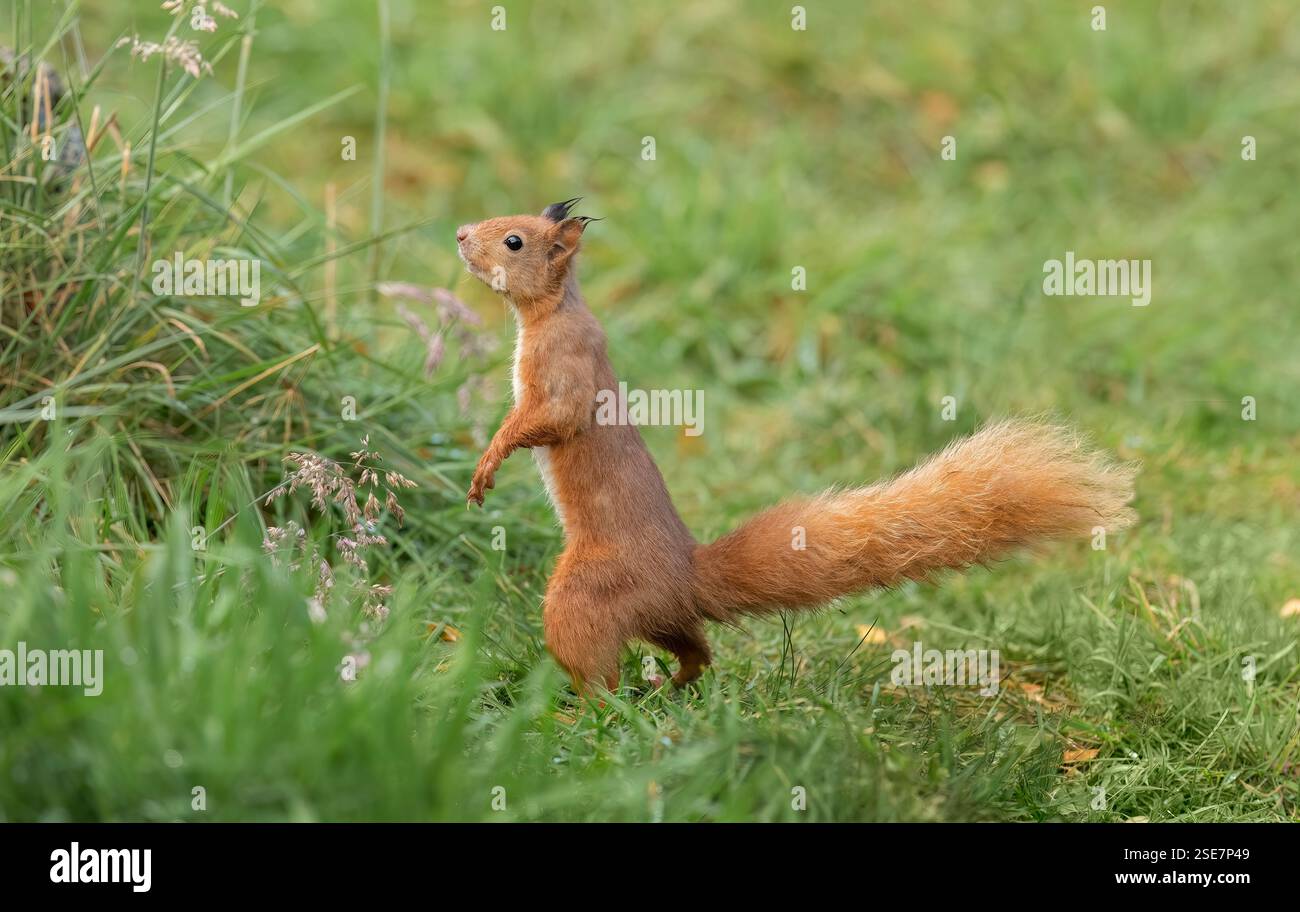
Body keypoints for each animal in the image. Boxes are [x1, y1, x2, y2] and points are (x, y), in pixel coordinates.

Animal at [457, 199, 1137, 693]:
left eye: (514, 240)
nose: (461, 233)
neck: (549, 316)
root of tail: (686, 574)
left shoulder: (565, 374)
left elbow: (546, 419)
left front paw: (487, 464)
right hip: (661, 616)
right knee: (696, 645)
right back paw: (672, 686)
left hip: (582, 595)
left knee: (603, 667)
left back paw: (589, 707)